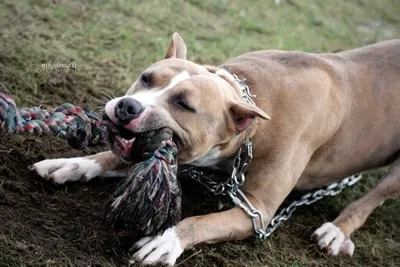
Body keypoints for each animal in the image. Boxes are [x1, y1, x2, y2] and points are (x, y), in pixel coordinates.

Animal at [31, 33, 400, 266]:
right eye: (146, 78)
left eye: (184, 105)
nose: (128, 106)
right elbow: (111, 157)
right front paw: (74, 164)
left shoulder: (258, 212)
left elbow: (203, 221)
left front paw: (167, 239)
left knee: (374, 196)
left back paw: (337, 231)